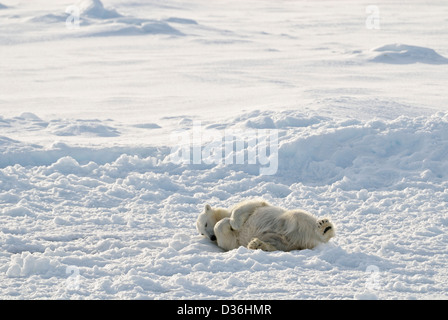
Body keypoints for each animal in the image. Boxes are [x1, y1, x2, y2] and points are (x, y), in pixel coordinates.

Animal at [194, 199, 334, 251]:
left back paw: (325, 228)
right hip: (282, 241)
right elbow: (228, 242)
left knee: (298, 216)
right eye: (202, 233)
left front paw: (233, 223)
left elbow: (246, 207)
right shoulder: (232, 242)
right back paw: (256, 244)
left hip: (287, 222)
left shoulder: (256, 205)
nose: (212, 237)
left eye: (205, 224)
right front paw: (225, 224)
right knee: (276, 245)